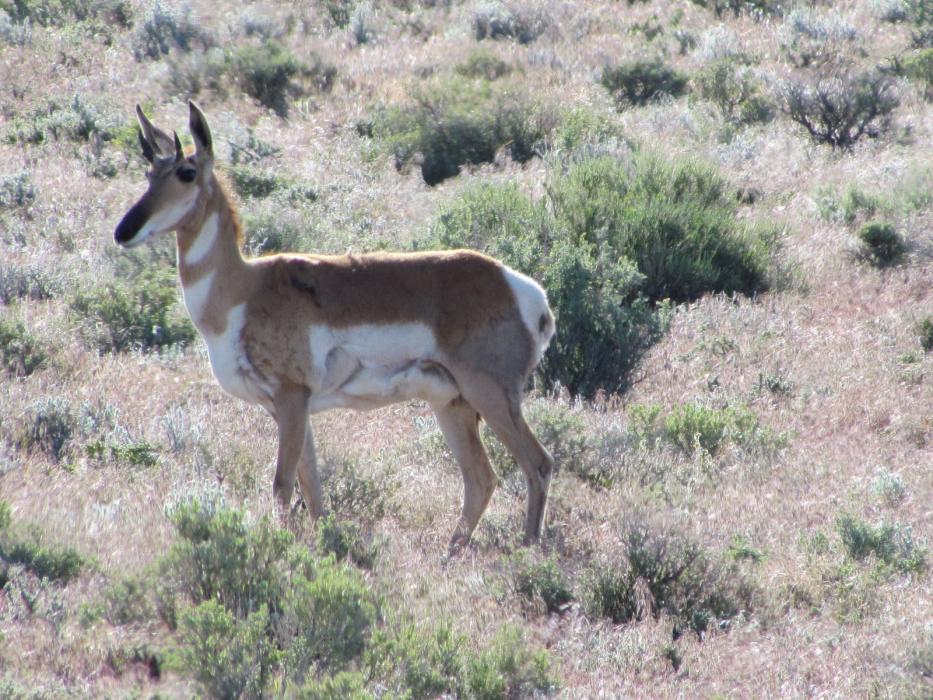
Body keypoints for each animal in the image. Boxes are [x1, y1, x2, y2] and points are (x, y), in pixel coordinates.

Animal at [114, 102, 556, 552]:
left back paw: (527, 552)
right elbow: (313, 489)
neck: (243, 288)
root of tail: (520, 288)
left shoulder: (292, 397)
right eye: (149, 173)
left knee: (538, 464)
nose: (124, 230)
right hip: (452, 404)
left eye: (186, 172)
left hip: (490, 397)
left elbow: (283, 484)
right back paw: (451, 553)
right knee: (481, 478)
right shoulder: (286, 408)